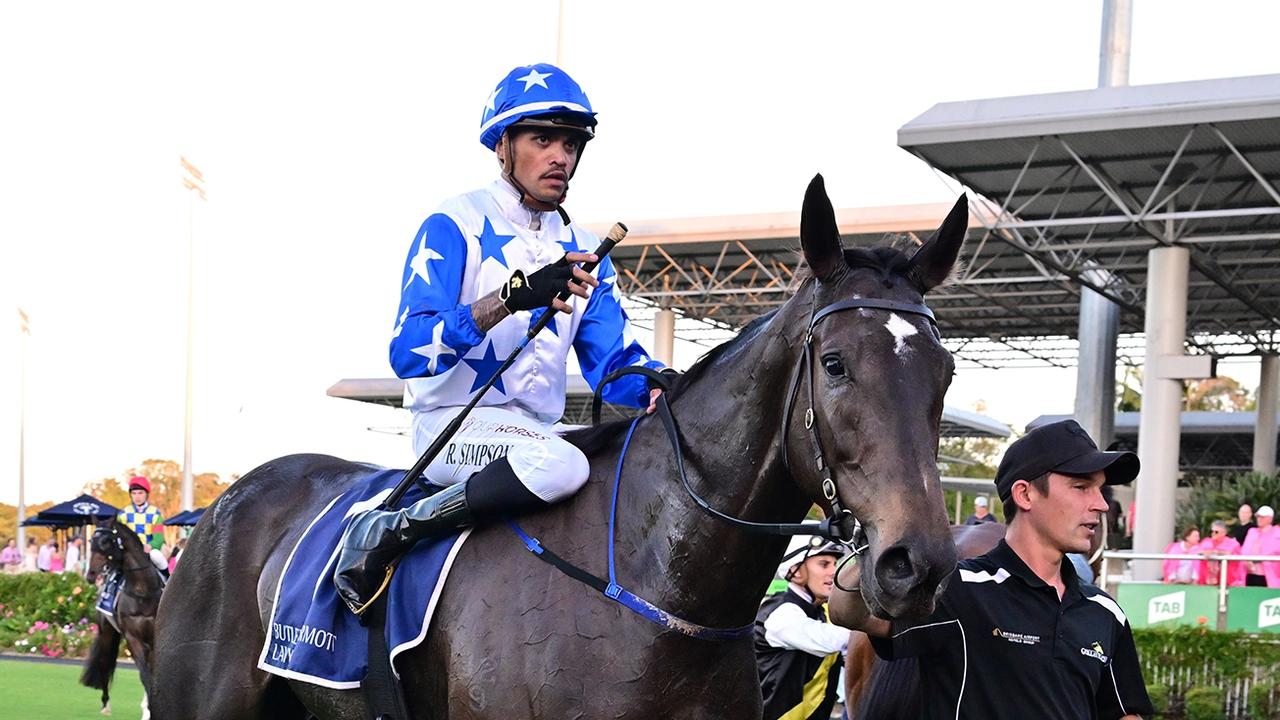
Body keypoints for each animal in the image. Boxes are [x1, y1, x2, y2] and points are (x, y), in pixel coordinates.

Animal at [82, 517, 165, 712]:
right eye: (90, 541)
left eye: (106, 541)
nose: (91, 574)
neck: (143, 593)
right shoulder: (132, 637)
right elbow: (144, 674)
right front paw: (150, 707)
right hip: (106, 631)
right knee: (104, 662)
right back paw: (105, 704)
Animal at [152, 175, 967, 717]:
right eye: (835, 364)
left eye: (946, 371)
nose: (917, 564)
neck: (651, 583)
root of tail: (230, 499)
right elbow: (416, 330)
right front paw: (541, 280)